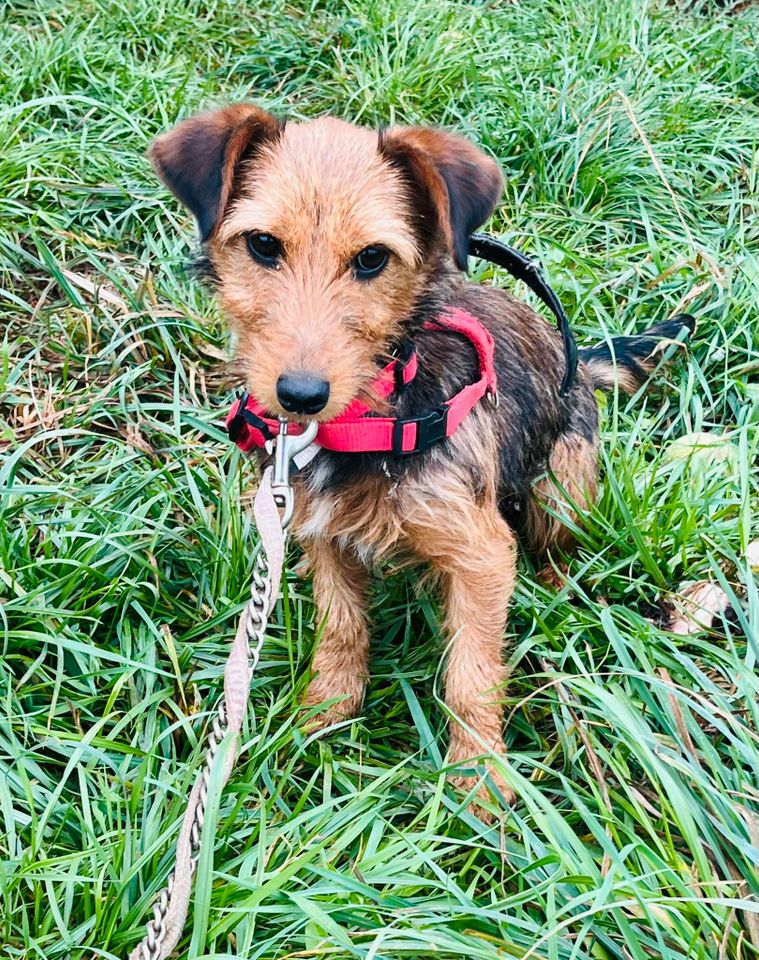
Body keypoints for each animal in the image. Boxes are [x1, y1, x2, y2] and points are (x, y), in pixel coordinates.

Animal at [148, 103, 696, 808]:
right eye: (264, 246)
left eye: (372, 258)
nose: (301, 395)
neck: (372, 420)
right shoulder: (322, 533)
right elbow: (342, 627)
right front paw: (322, 717)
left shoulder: (482, 554)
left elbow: (471, 674)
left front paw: (480, 782)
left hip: (562, 483)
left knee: (559, 546)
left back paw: (555, 591)